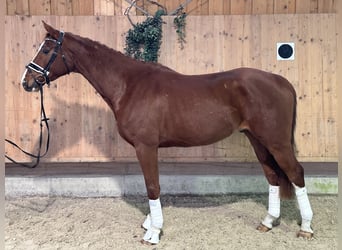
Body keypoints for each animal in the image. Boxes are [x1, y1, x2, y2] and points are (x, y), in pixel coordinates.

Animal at [21, 22, 314, 244]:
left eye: (46, 49)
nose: (26, 82)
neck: (129, 85)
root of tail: (280, 81)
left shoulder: (146, 146)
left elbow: (152, 186)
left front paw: (153, 233)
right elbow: (150, 185)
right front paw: (150, 224)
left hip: (276, 142)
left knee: (295, 173)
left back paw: (306, 228)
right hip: (258, 140)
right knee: (273, 175)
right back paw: (268, 222)